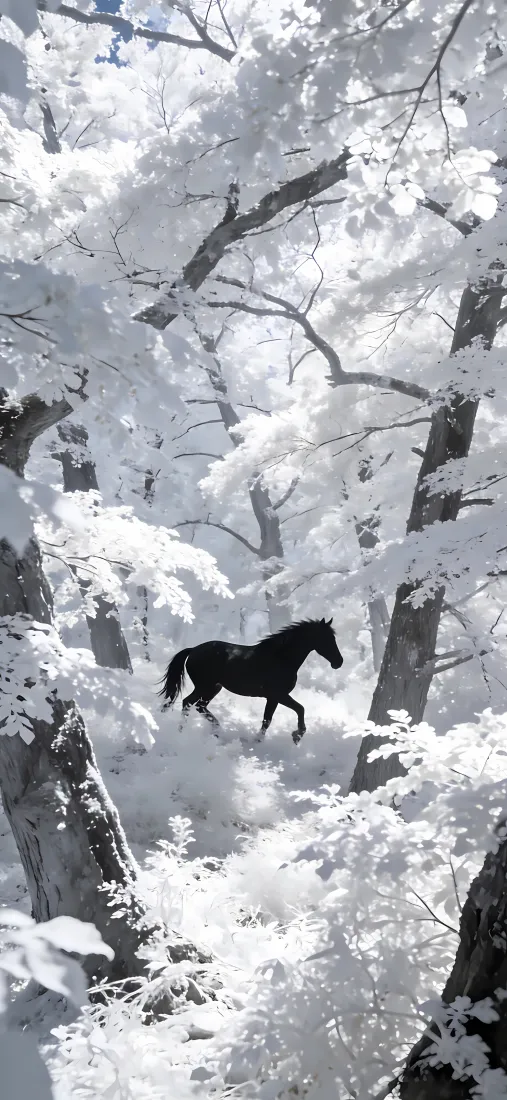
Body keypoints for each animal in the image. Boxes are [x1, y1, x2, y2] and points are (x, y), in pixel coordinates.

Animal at [158, 617, 343, 744]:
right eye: (326, 639)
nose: (338, 662)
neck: (281, 658)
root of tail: (193, 650)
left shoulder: (273, 698)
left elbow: (267, 720)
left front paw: (257, 741)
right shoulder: (279, 695)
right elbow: (300, 709)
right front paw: (297, 735)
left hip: (214, 688)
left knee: (199, 706)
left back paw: (217, 730)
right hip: (204, 686)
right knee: (188, 703)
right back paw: (181, 733)